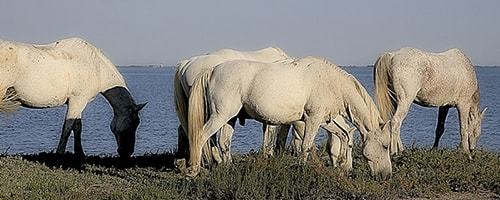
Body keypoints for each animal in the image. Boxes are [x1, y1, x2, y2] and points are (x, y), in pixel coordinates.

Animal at [0, 37, 147, 156]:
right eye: (134, 123)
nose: (127, 152)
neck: (96, 66)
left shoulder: (79, 103)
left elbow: (77, 127)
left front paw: (80, 153)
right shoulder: (77, 101)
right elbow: (68, 127)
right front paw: (60, 153)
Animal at [187, 56, 390, 180]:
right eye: (385, 146)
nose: (386, 175)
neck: (330, 82)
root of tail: (213, 70)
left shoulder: (324, 120)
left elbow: (342, 135)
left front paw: (340, 165)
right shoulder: (313, 119)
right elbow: (306, 145)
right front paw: (302, 169)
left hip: (230, 119)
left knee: (224, 143)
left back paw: (229, 170)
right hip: (220, 116)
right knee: (201, 137)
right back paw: (194, 171)